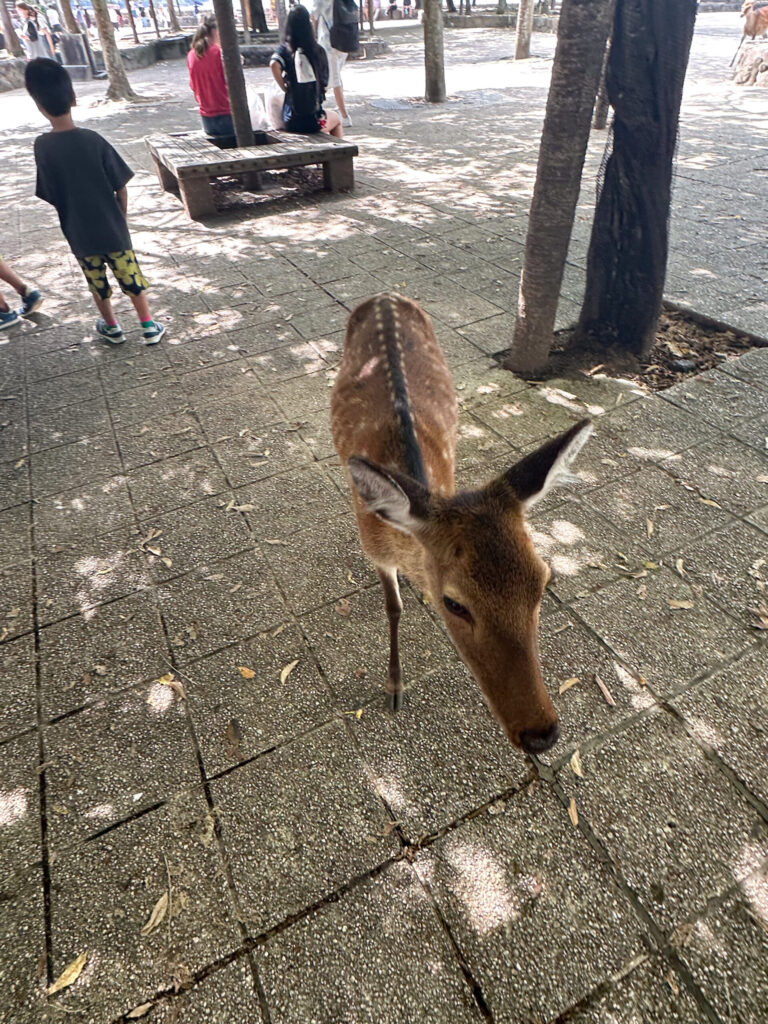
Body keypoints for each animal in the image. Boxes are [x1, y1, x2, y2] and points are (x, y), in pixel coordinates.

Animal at [330, 293, 593, 756]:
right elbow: (393, 607)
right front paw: (394, 687)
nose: (541, 734)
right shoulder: (373, 549)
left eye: (544, 582)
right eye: (454, 603)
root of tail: (385, 296)